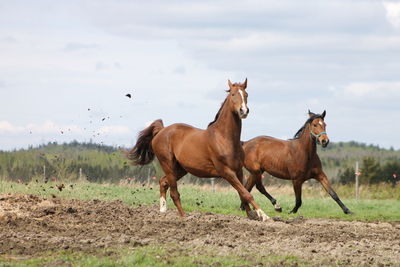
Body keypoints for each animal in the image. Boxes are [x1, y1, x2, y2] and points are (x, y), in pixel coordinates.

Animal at [130, 79, 270, 222]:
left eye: (246, 94)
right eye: (233, 94)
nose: (244, 111)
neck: (225, 138)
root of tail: (161, 131)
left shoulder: (238, 171)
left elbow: (243, 192)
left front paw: (251, 215)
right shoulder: (226, 172)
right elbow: (246, 193)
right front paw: (263, 215)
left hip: (181, 168)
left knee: (163, 182)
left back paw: (163, 210)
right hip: (167, 164)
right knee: (174, 193)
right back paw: (184, 217)